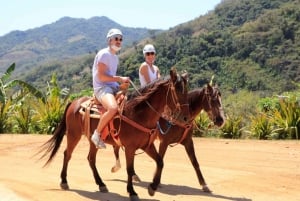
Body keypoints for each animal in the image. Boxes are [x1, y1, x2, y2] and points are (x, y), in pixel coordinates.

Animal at [39, 68, 190, 201]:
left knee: (91, 158)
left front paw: (152, 187)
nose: (185, 118)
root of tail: (74, 102)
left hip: (91, 140)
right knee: (67, 154)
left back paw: (101, 184)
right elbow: (130, 169)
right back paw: (64, 181)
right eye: (177, 90)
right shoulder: (130, 148)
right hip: (73, 135)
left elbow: (160, 162)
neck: (138, 113)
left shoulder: (147, 146)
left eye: (187, 90)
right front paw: (132, 192)